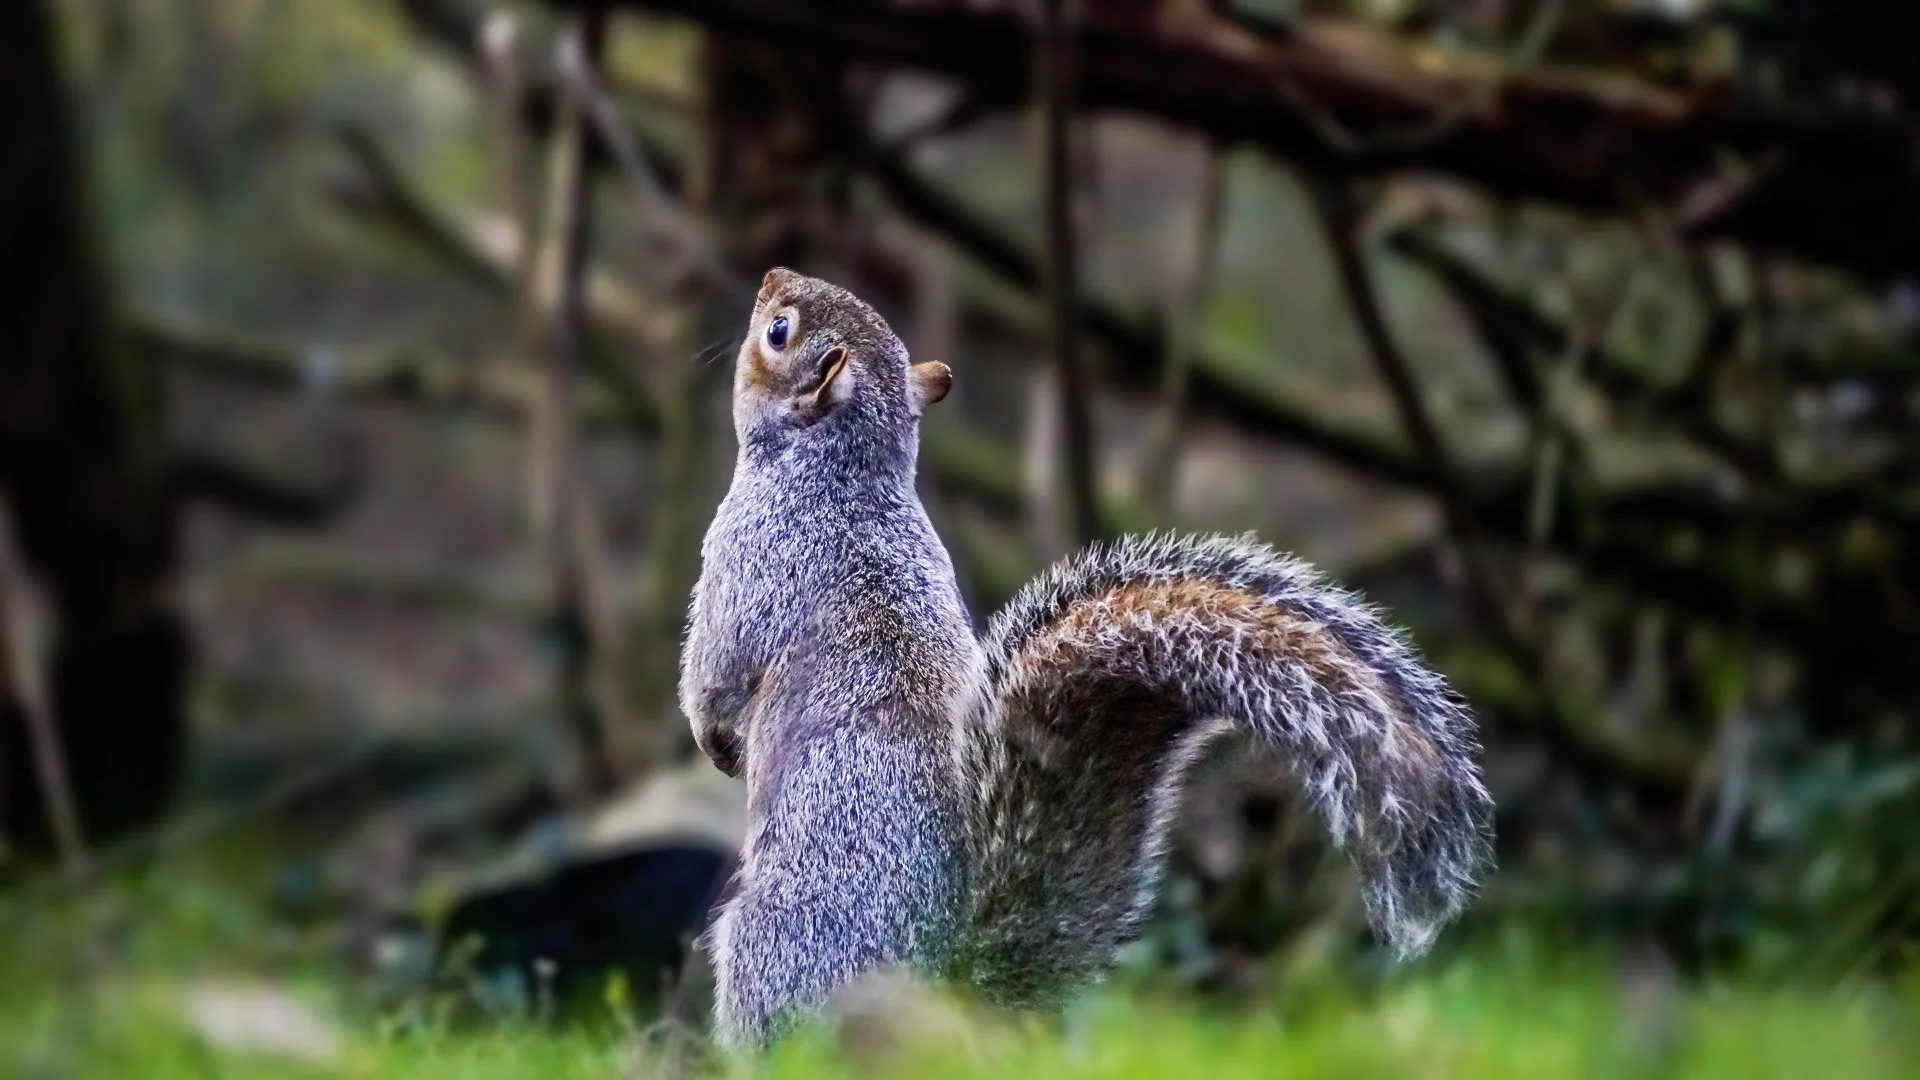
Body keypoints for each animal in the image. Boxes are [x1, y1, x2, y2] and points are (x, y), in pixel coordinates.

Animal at [680, 267, 1495, 1051]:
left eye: (779, 331)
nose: (771, 274)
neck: (845, 475)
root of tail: (950, 984)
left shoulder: (748, 558)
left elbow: (714, 673)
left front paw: (715, 742)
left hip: (768, 946)